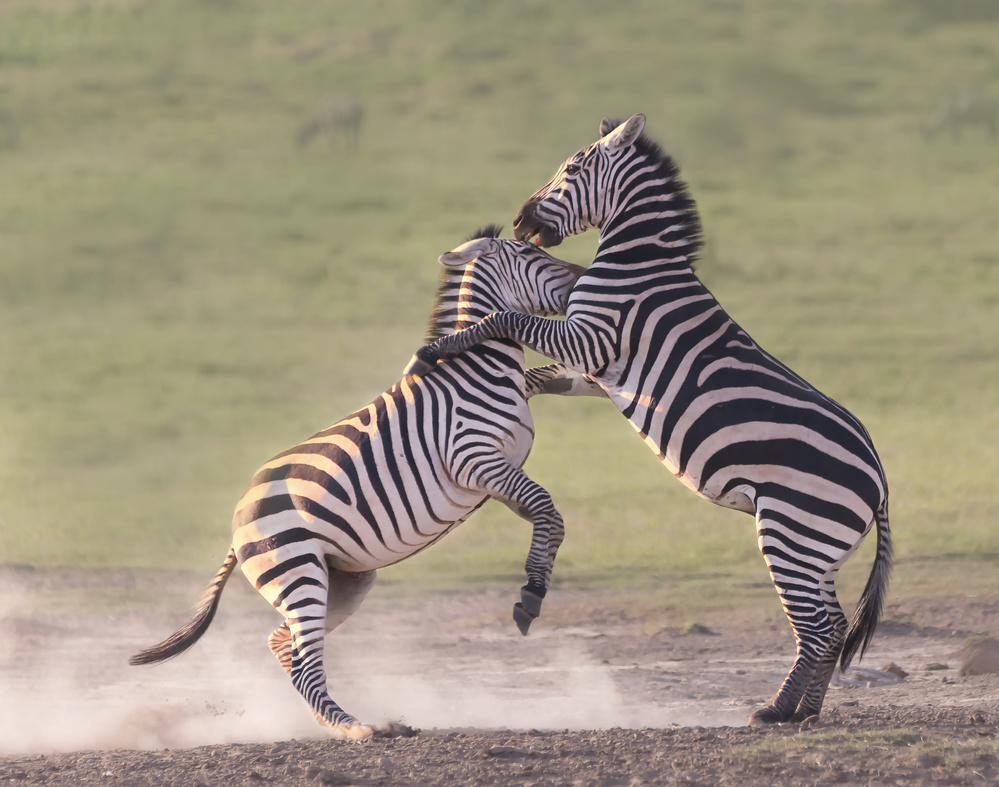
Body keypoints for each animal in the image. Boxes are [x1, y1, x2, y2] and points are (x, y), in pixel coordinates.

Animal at [129, 226, 596, 740]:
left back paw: (340, 724)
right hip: (297, 572)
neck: (479, 369)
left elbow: (547, 507)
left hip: (343, 580)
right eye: (533, 253)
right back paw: (357, 729)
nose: (586, 278)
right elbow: (547, 508)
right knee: (303, 662)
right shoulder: (473, 460)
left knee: (284, 644)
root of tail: (237, 522)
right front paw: (531, 594)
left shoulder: (497, 472)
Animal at [410, 115, 896, 728]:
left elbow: (507, 317)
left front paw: (439, 350)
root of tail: (879, 478)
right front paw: (504, 383)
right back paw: (807, 711)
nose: (520, 220)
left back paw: (776, 711)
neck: (635, 266)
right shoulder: (594, 365)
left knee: (818, 628)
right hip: (820, 549)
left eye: (570, 169)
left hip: (792, 531)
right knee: (831, 624)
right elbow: (542, 376)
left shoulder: (590, 338)